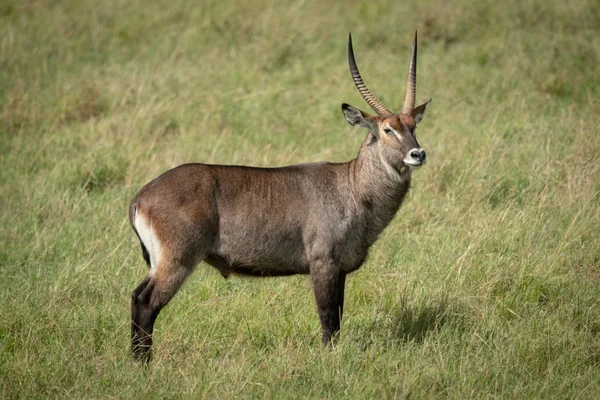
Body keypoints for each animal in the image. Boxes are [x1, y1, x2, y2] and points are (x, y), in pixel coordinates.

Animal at [130, 32, 432, 360]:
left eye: (413, 126)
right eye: (388, 129)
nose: (418, 154)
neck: (352, 186)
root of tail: (141, 197)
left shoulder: (339, 270)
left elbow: (338, 316)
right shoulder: (323, 263)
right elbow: (328, 317)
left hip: (159, 263)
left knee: (136, 297)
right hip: (177, 261)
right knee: (146, 303)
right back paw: (142, 363)